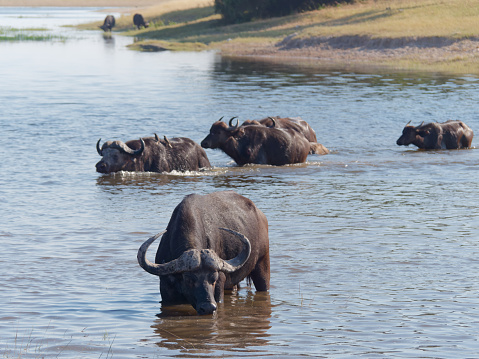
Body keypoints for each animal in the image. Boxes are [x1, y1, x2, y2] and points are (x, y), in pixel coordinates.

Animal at [137, 191, 270, 316]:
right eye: (188, 279)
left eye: (214, 278)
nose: (208, 308)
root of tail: (261, 215)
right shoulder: (166, 289)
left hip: (263, 264)